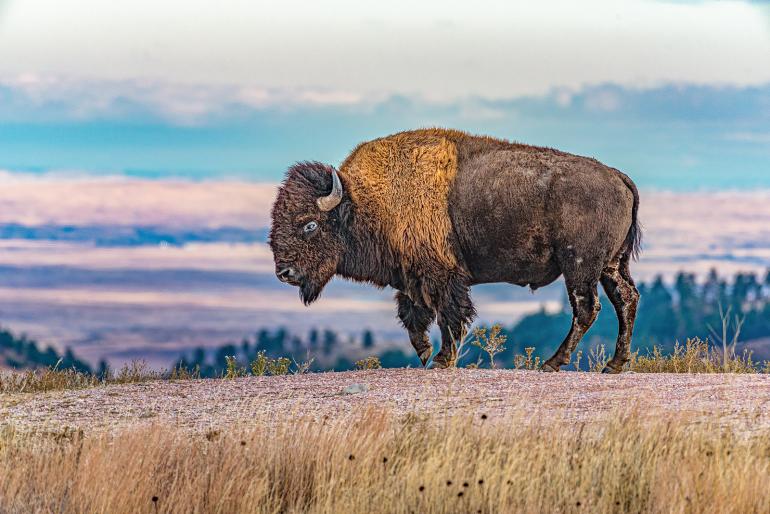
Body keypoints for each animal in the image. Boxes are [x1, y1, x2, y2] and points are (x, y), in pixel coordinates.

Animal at [269, 129, 640, 372]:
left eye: (310, 224)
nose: (284, 272)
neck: (366, 201)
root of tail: (618, 177)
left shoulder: (441, 276)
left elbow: (448, 315)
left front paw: (441, 359)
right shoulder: (411, 277)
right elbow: (413, 316)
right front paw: (424, 354)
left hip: (579, 266)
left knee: (586, 309)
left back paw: (552, 363)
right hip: (611, 265)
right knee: (626, 300)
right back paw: (614, 364)